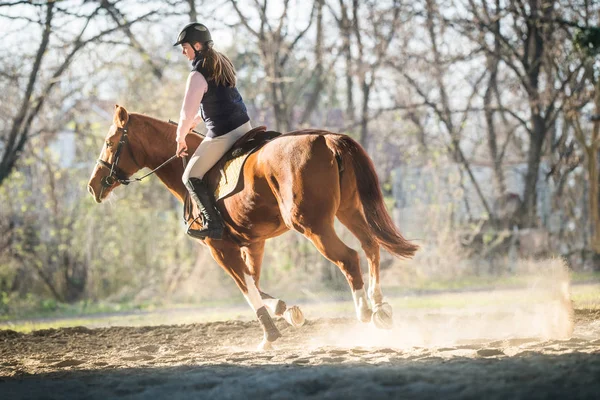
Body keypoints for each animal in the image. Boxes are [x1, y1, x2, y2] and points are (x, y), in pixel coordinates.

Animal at [88, 104, 418, 348]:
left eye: (109, 143)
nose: (93, 186)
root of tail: (326, 138)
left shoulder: (220, 248)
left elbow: (245, 287)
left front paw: (270, 334)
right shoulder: (253, 243)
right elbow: (255, 282)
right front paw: (286, 311)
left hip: (312, 226)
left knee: (348, 257)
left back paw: (365, 311)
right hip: (348, 211)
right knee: (371, 245)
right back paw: (380, 307)